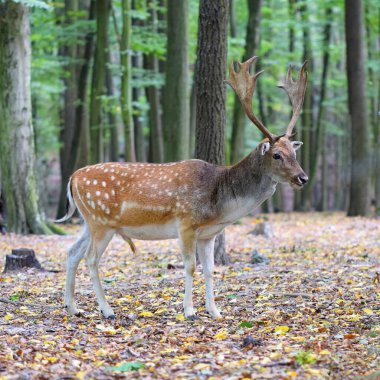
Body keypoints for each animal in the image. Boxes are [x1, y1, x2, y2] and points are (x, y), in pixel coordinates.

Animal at [57, 57, 308, 320]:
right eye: (277, 155)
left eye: (294, 153)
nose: (303, 178)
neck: (220, 204)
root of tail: (72, 178)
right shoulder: (186, 223)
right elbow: (190, 266)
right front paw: (189, 310)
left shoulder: (209, 234)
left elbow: (210, 269)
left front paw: (214, 311)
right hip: (101, 221)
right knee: (91, 258)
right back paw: (107, 310)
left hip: (89, 221)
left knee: (72, 252)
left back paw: (73, 306)